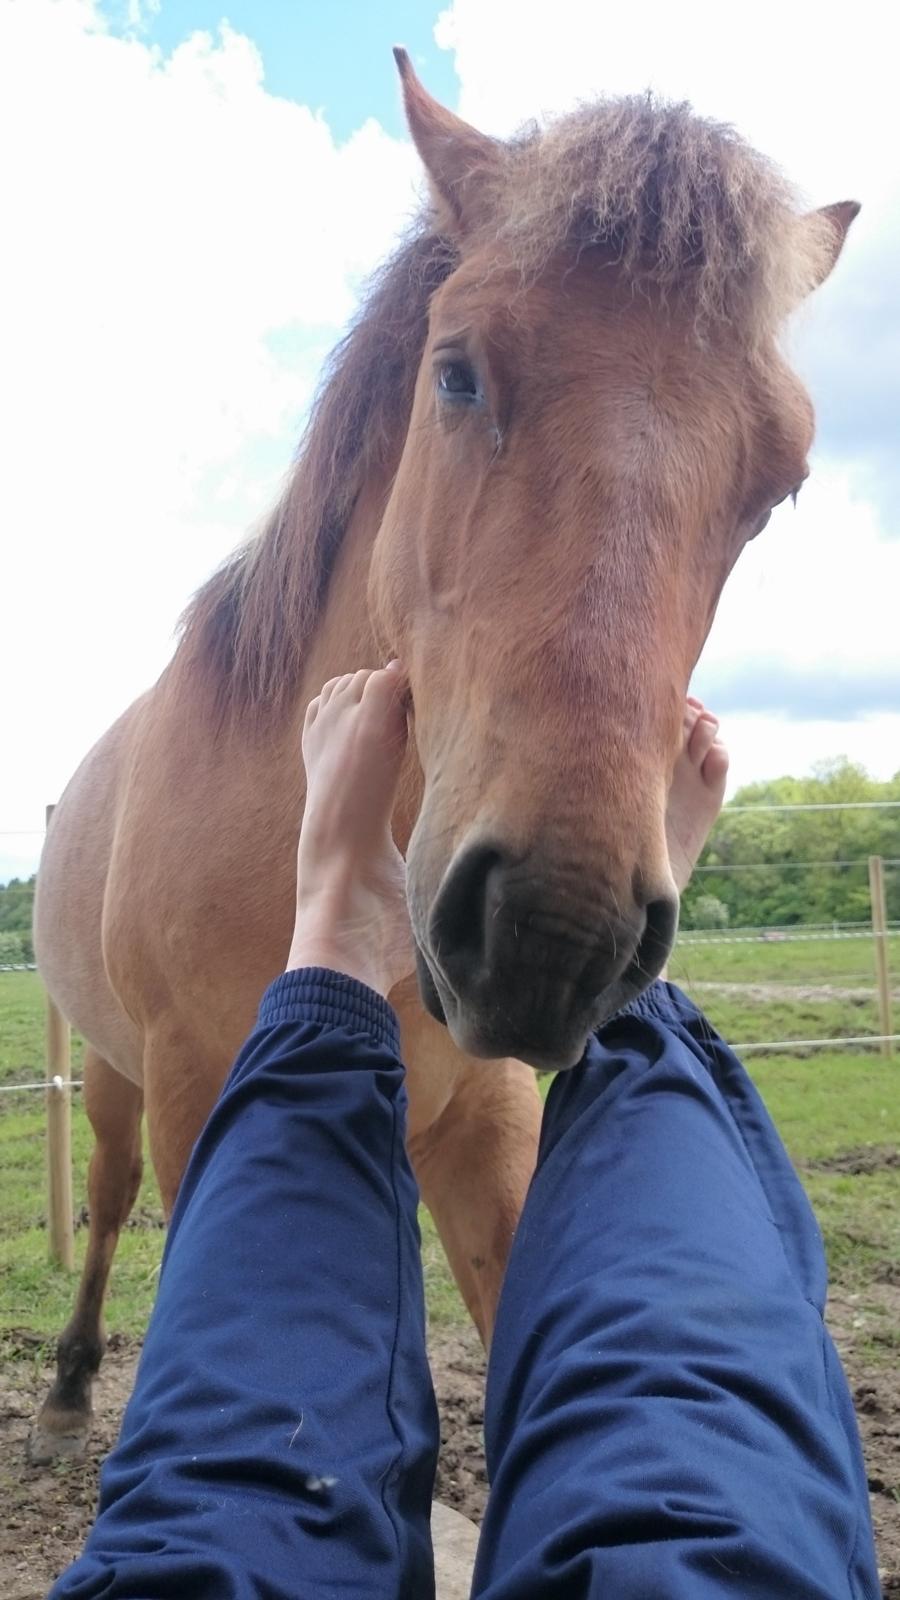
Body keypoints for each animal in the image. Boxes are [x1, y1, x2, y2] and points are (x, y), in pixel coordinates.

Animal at [28, 56, 851, 1465]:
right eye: (458, 375)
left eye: (784, 477)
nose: (551, 930)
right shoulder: (197, 1105)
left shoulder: (491, 1126)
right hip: (118, 1075)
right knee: (111, 1191)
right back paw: (76, 1376)